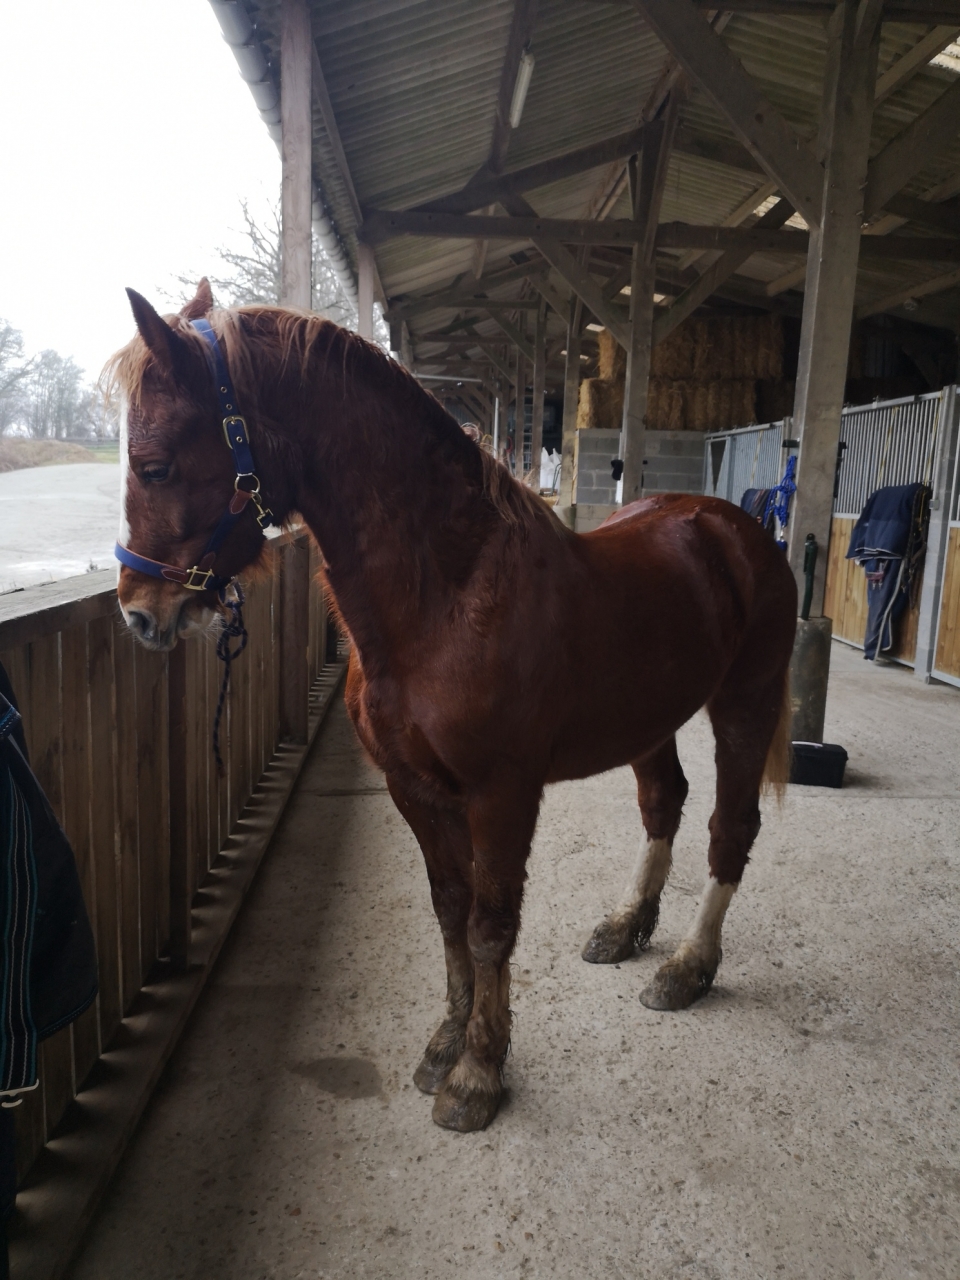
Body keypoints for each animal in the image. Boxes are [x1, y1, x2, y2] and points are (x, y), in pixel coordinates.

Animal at [112, 280, 797, 1133]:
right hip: (651, 719)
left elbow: (491, 924)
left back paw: (688, 966)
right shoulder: (415, 789)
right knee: (663, 803)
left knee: (730, 828)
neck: (450, 595)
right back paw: (626, 926)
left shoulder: (501, 796)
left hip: (744, 704)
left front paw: (477, 1073)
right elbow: (450, 912)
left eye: (156, 465)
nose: (138, 614)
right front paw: (447, 1042)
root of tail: (734, 528)